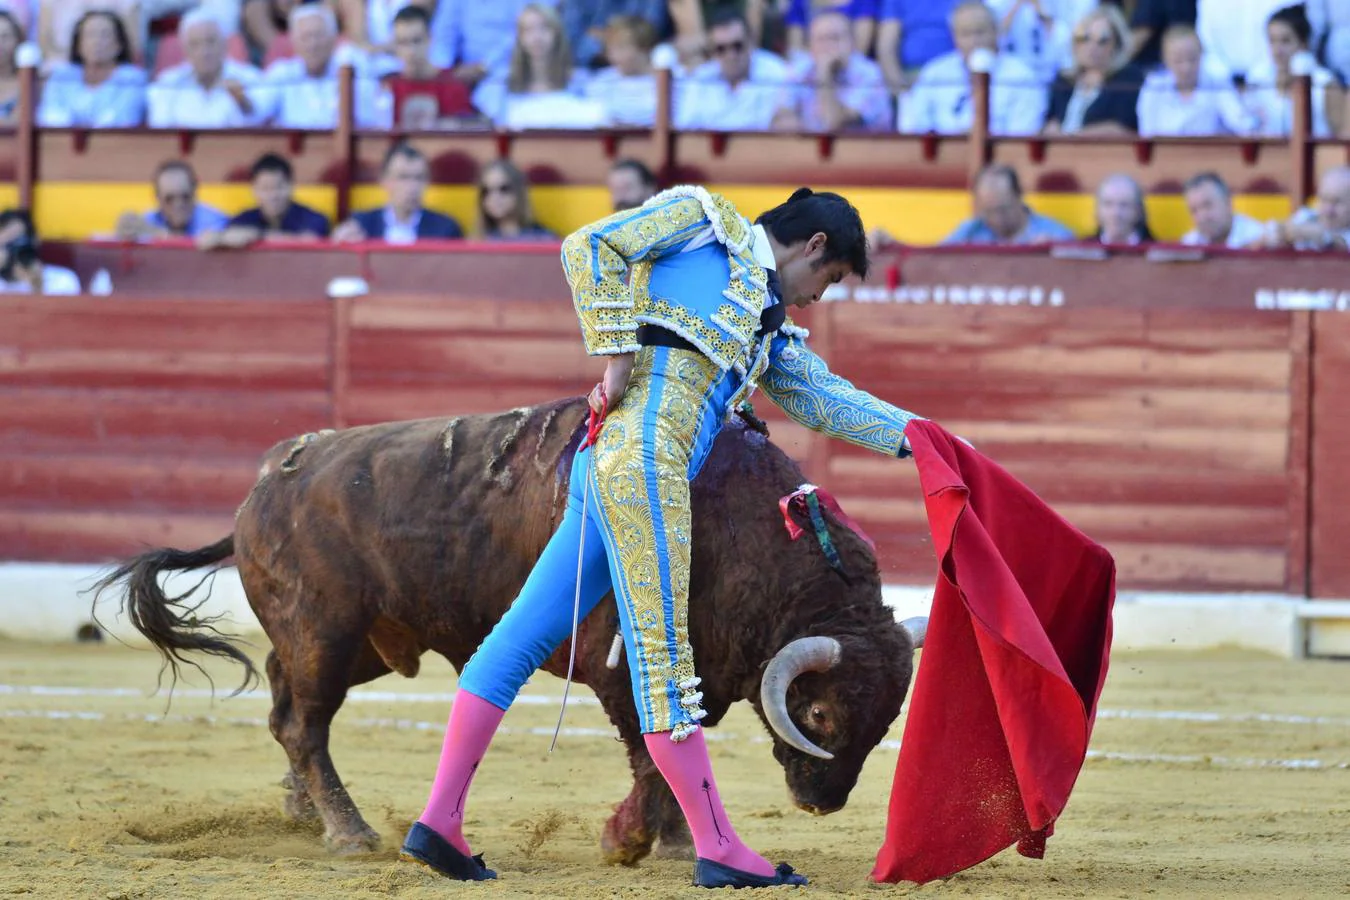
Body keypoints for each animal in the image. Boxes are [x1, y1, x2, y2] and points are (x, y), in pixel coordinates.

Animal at [95, 402, 923, 863]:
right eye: (821, 713)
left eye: (887, 721)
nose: (823, 803)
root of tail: (268, 477)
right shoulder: (620, 662)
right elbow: (651, 751)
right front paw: (635, 843)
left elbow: (673, 748)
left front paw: (672, 841)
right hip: (324, 632)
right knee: (305, 723)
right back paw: (349, 831)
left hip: (359, 641)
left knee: (281, 703)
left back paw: (301, 810)